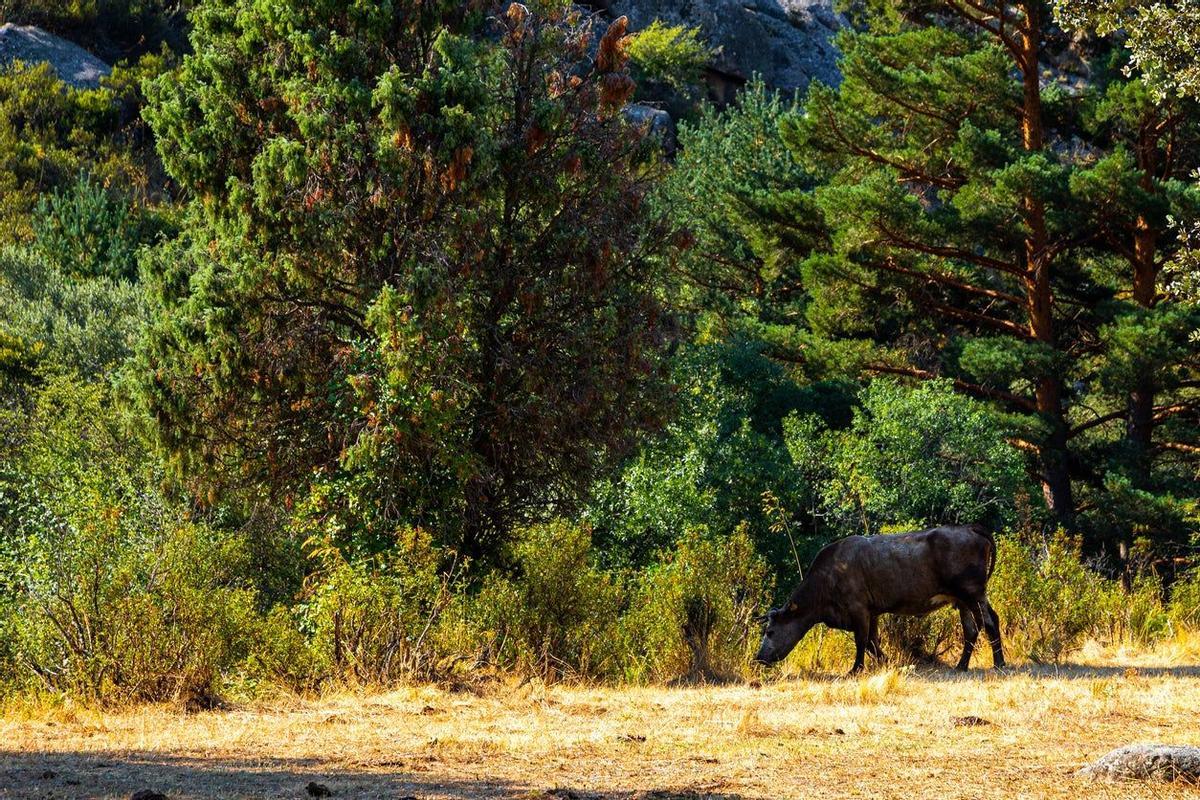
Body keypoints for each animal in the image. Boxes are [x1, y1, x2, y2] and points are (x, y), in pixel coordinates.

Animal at [758, 525, 1003, 676]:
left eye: (770, 632)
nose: (759, 657)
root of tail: (969, 527)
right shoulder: (872, 612)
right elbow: (872, 642)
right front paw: (889, 663)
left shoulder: (858, 608)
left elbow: (861, 641)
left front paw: (855, 669)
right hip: (963, 599)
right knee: (972, 629)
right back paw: (961, 666)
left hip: (973, 592)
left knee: (989, 621)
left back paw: (999, 663)